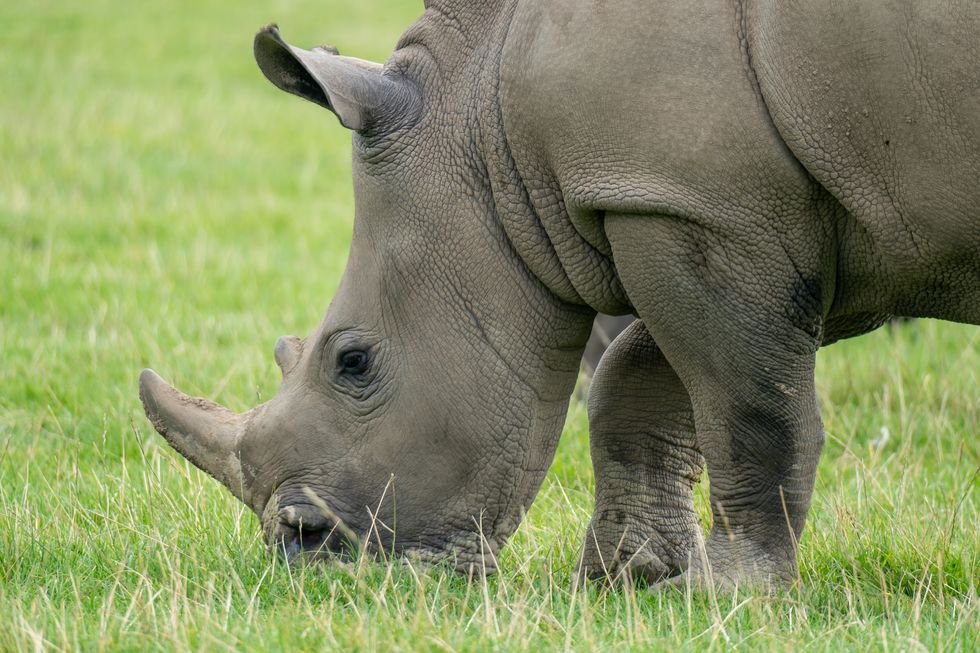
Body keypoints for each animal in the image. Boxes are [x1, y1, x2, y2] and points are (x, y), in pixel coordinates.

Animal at [139, 0, 979, 588]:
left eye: (353, 361)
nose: (301, 552)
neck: (484, 125)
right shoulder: (728, 211)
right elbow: (638, 377)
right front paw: (629, 580)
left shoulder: (700, 203)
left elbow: (748, 407)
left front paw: (733, 592)